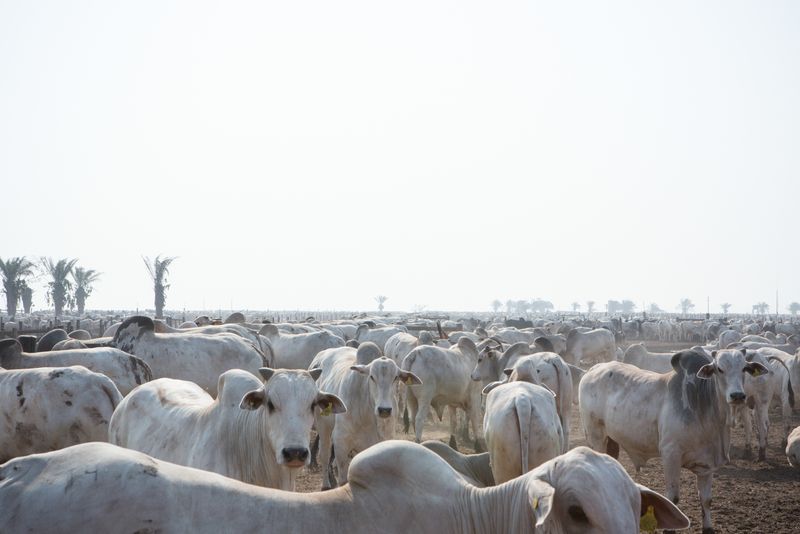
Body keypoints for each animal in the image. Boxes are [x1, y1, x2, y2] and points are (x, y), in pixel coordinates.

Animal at [310, 343, 421, 488]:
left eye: (396, 377)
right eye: (372, 377)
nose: (384, 410)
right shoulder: (341, 441)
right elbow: (343, 479)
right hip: (323, 426)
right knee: (324, 454)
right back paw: (326, 484)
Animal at [579, 349, 768, 533]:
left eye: (744, 369)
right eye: (719, 369)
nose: (737, 395)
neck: (703, 407)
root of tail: (593, 369)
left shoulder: (707, 464)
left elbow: (706, 500)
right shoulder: (671, 454)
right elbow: (673, 499)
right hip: (596, 436)